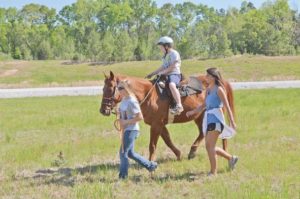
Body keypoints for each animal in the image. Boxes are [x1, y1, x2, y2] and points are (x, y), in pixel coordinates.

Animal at [99, 71, 234, 162]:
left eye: (110, 89)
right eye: (103, 88)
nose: (103, 110)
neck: (149, 94)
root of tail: (219, 82)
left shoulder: (156, 125)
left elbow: (152, 145)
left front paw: (150, 162)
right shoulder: (160, 124)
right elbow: (168, 140)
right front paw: (178, 154)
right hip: (199, 116)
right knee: (202, 132)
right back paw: (192, 151)